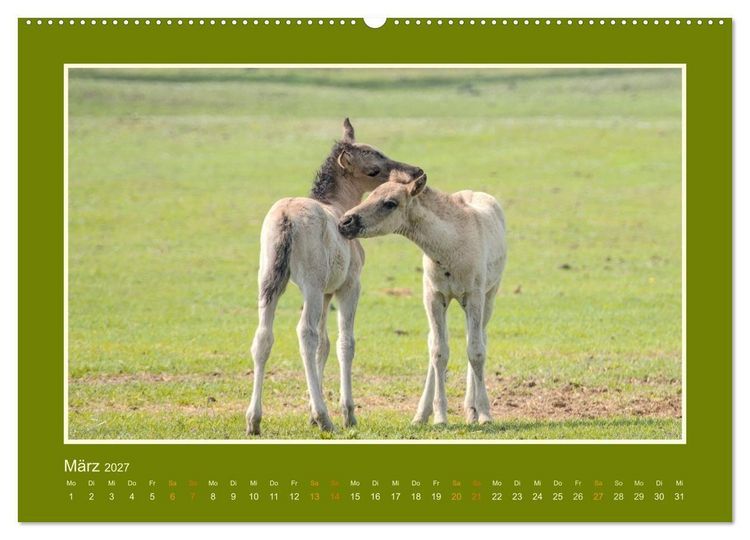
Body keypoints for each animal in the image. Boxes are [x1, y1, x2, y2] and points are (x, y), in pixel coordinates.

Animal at [247, 119, 424, 435]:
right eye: (374, 167)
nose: (414, 172)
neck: (337, 205)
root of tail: (286, 218)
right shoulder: (348, 287)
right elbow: (344, 343)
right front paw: (347, 413)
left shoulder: (328, 291)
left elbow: (325, 345)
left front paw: (309, 411)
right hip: (311, 286)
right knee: (305, 333)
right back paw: (324, 418)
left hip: (269, 282)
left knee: (264, 337)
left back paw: (254, 420)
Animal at [338, 171, 507, 425]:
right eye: (371, 194)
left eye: (390, 203)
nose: (344, 223)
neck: (450, 245)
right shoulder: (434, 297)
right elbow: (439, 352)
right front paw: (439, 417)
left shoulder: (475, 297)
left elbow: (476, 352)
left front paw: (485, 414)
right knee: (434, 344)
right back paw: (422, 414)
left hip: (490, 296)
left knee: (479, 338)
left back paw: (471, 409)